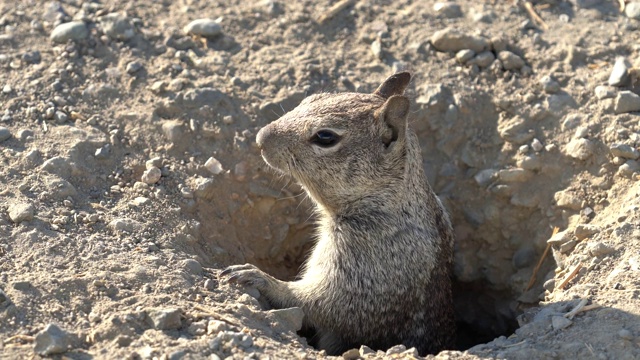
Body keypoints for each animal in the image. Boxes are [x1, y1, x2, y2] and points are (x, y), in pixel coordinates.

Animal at [222, 72, 458, 354]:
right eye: (311, 99)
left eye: (325, 137)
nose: (260, 138)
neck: (384, 199)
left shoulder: (368, 263)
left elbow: (324, 303)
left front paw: (257, 276)